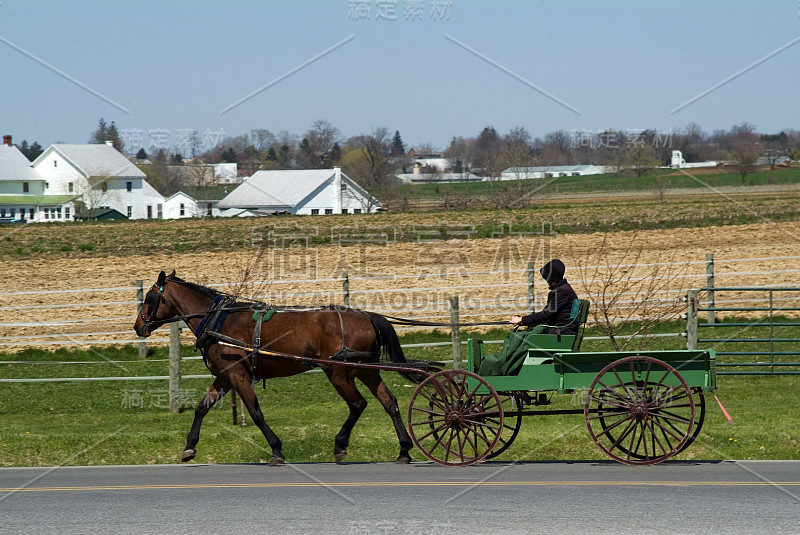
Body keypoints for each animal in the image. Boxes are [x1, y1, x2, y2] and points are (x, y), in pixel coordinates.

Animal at [132, 270, 416, 466]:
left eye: (150, 297)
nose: (137, 326)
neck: (219, 321)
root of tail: (366, 315)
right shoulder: (226, 376)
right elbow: (202, 408)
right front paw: (189, 447)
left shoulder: (238, 375)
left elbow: (256, 413)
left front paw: (276, 449)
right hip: (366, 369)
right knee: (389, 402)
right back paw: (404, 449)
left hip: (338, 372)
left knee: (358, 404)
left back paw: (340, 445)